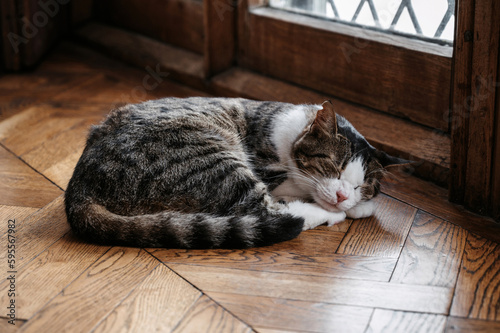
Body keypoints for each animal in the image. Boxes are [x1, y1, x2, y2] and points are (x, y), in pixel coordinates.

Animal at [64, 95, 408, 246]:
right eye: (333, 166)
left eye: (362, 185)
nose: (341, 196)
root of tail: (79, 188)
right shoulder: (272, 173)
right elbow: (295, 189)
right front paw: (347, 209)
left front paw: (358, 204)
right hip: (214, 159)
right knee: (265, 211)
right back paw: (326, 215)